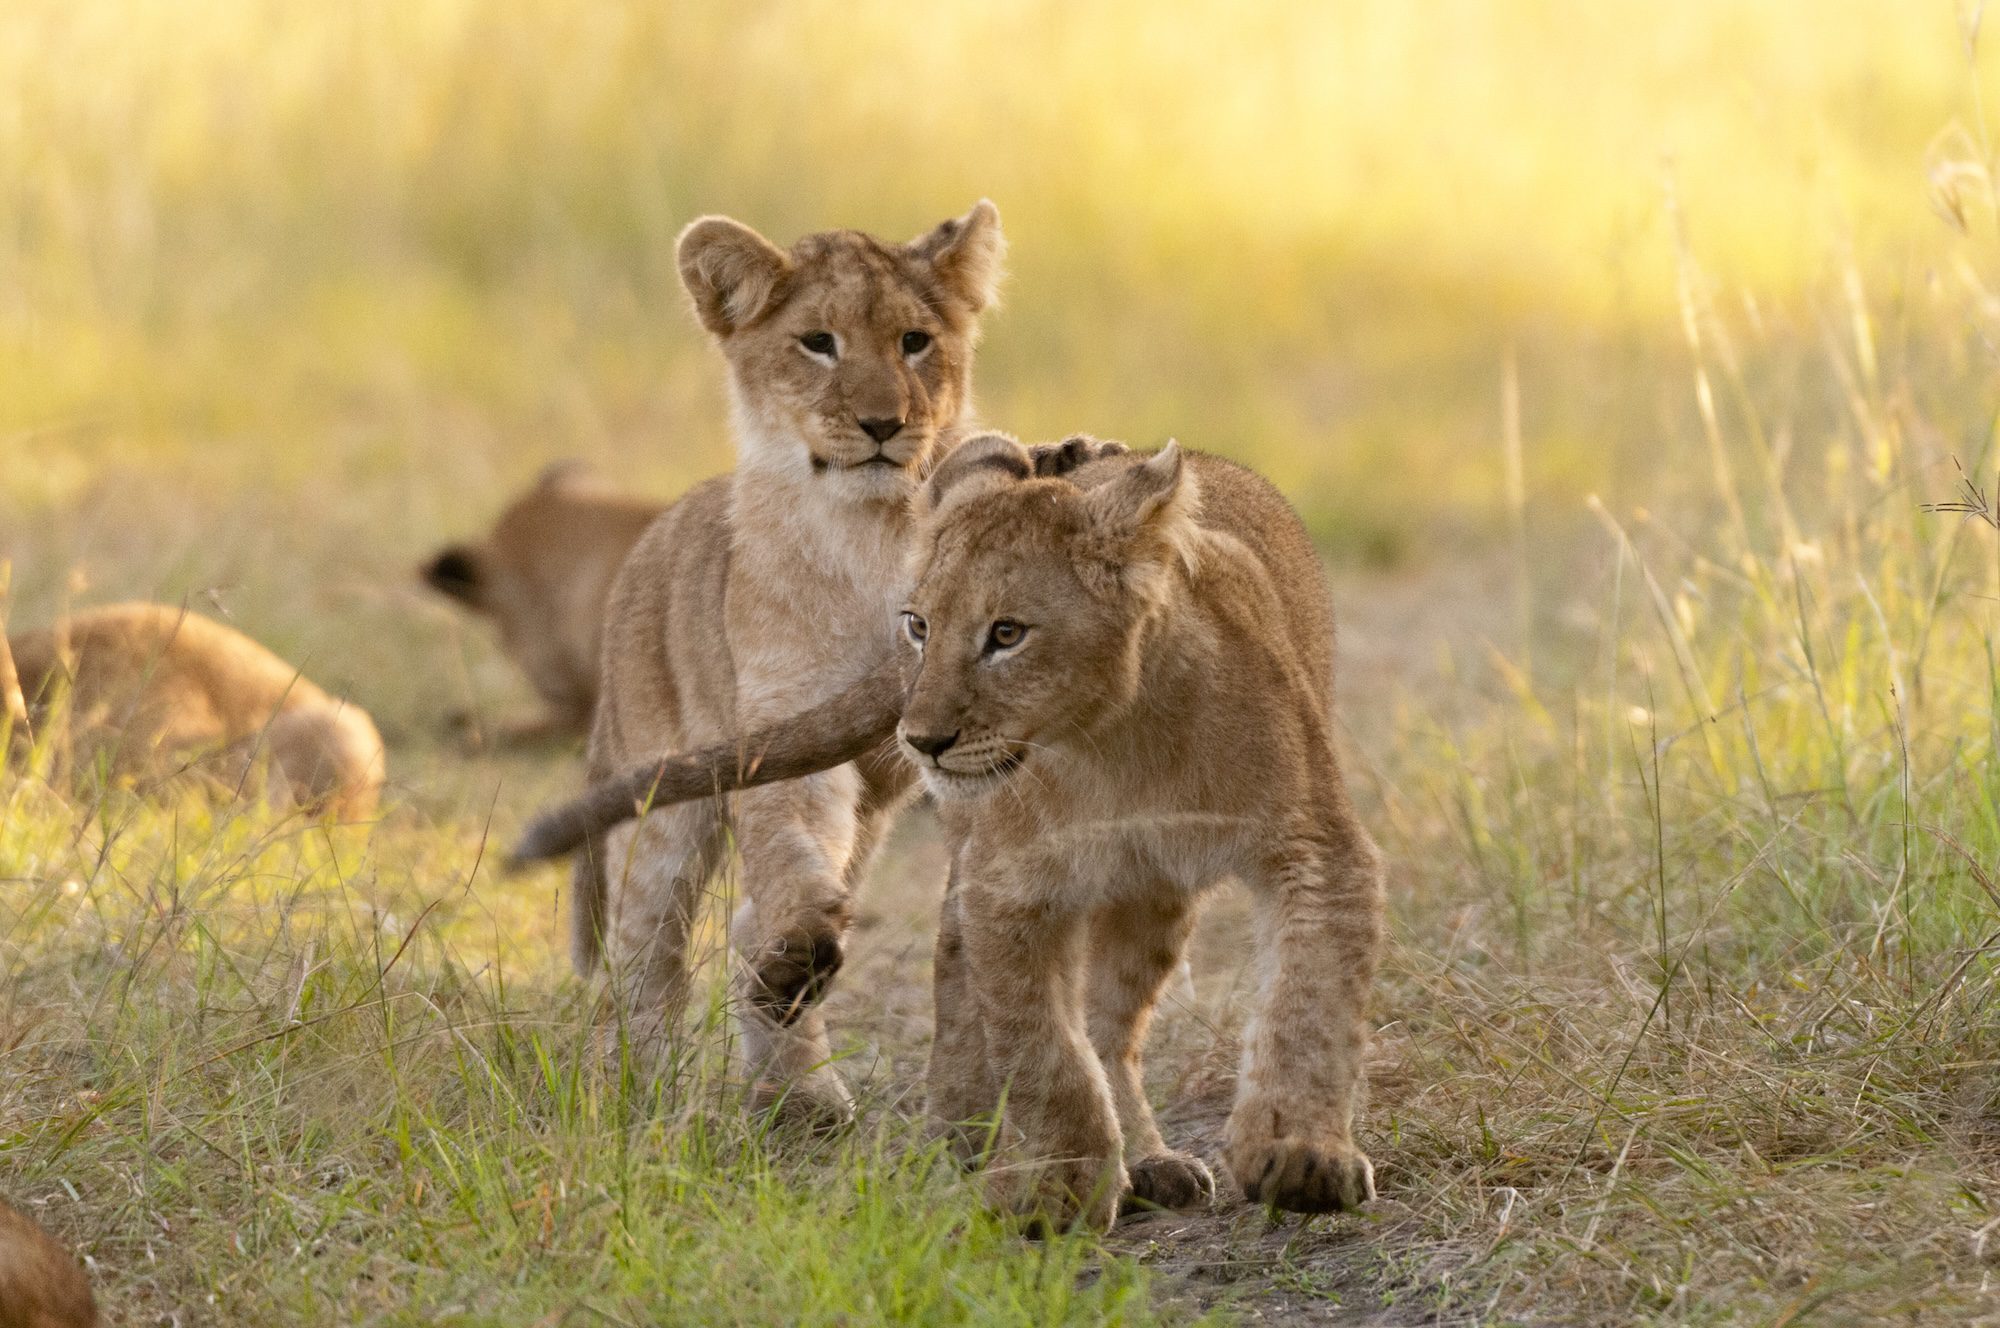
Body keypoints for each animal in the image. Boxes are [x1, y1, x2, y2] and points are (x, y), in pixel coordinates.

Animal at [515, 435, 1386, 1229]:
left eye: (1007, 634)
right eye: (918, 626)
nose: (922, 738)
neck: (1113, 741)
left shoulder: (1314, 847)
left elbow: (1306, 1005)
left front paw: (1301, 1158)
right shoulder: (1009, 884)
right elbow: (1042, 1046)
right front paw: (1058, 1188)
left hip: (1154, 892)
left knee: (1110, 1023)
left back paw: (1143, 1162)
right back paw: (955, 1134)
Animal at [569, 201, 1007, 1122]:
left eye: (915, 342)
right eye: (818, 343)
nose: (883, 424)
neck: (872, 532)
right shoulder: (785, 724)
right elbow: (792, 857)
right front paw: (799, 948)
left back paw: (798, 1096)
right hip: (661, 800)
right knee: (646, 945)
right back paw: (631, 1088)